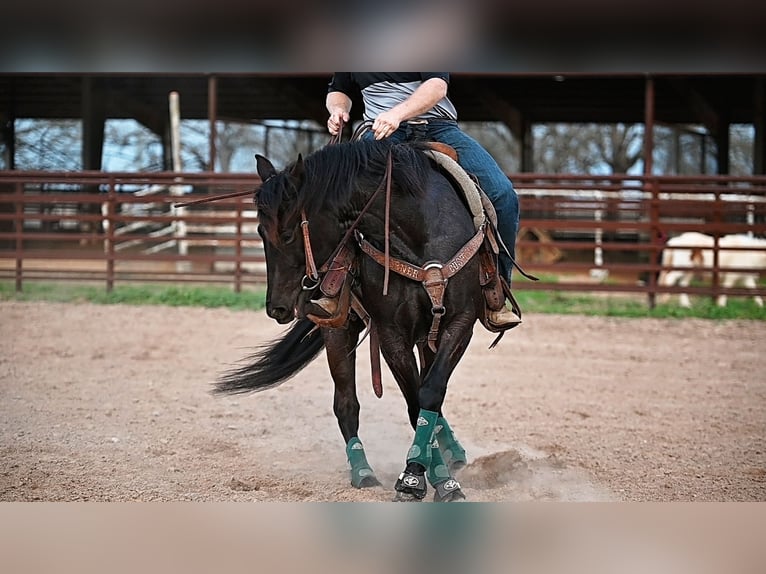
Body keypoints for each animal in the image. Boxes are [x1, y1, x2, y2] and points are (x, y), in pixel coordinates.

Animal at [214, 139, 513, 501]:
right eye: (260, 230)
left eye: (286, 234)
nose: (277, 308)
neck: (422, 232)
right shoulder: (391, 334)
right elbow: (414, 402)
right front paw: (415, 478)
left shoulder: (459, 324)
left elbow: (431, 393)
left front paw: (439, 478)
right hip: (339, 330)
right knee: (346, 404)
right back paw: (363, 471)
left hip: (427, 336)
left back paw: (452, 453)